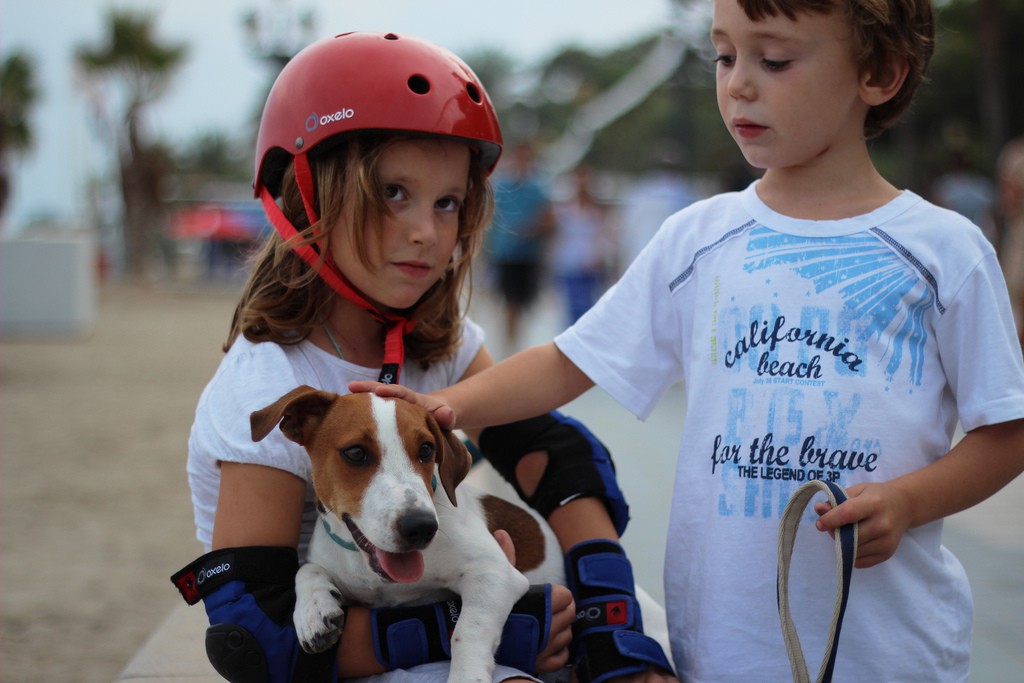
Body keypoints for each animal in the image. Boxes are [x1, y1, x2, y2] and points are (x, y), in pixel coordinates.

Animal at [250, 387, 565, 679]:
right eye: (355, 453)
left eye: (426, 449)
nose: (422, 527)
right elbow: (306, 570)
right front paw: (313, 609)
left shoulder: (494, 573)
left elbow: (467, 631)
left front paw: (466, 675)